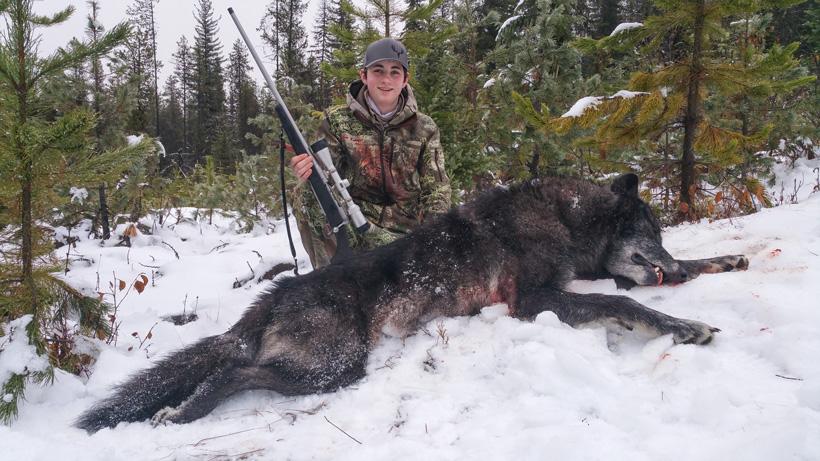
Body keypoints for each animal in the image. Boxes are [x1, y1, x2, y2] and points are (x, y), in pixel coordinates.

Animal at [76, 174, 748, 432]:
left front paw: (726, 262)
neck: (565, 217)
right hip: (333, 366)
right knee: (233, 372)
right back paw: (183, 414)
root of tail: (269, 299)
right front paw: (687, 325)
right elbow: (635, 309)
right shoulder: (535, 301)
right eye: (650, 232)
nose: (666, 263)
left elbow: (675, 279)